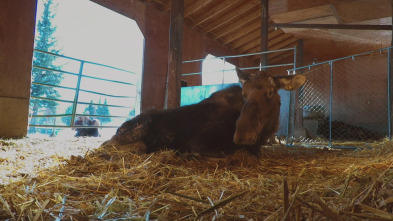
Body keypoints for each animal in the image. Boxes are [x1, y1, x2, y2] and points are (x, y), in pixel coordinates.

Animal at [99, 69, 304, 157]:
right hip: (141, 124)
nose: (242, 135)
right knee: (109, 144)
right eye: (244, 94)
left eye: (270, 92)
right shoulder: (198, 144)